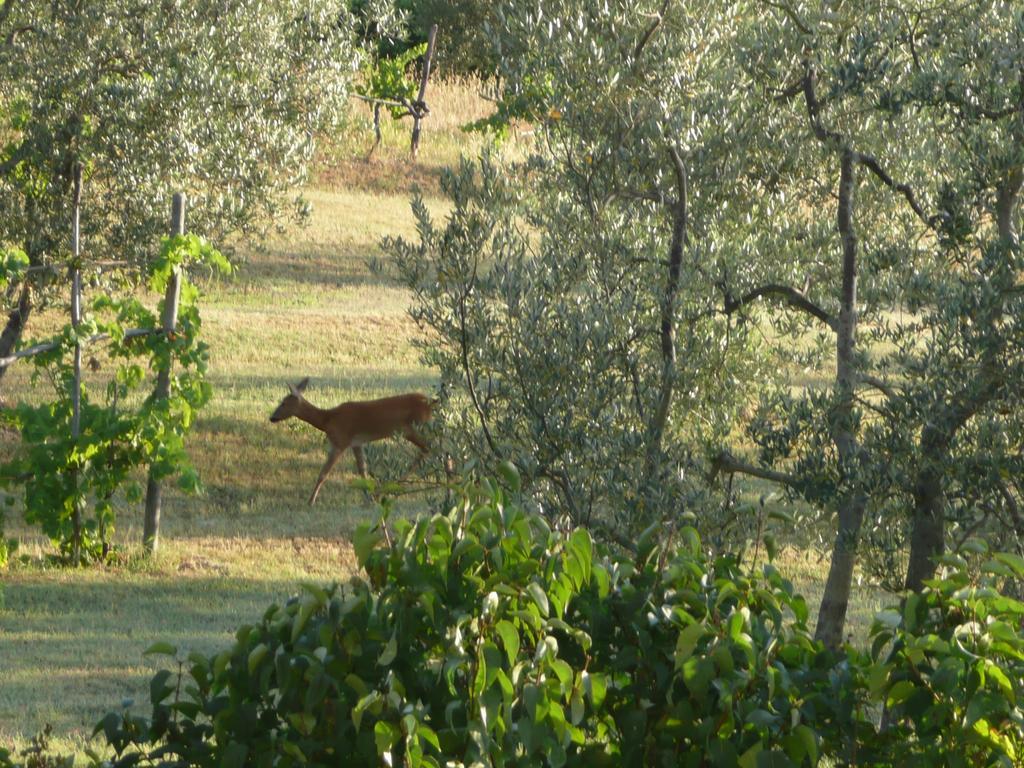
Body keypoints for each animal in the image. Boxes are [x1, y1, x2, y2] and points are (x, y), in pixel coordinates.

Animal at [270, 376, 434, 505]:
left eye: (283, 403)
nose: (272, 418)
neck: (327, 420)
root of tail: (432, 403)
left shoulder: (340, 441)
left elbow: (324, 473)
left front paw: (310, 501)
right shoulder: (356, 443)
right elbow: (362, 470)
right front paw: (369, 497)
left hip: (414, 428)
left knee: (428, 448)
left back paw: (397, 484)